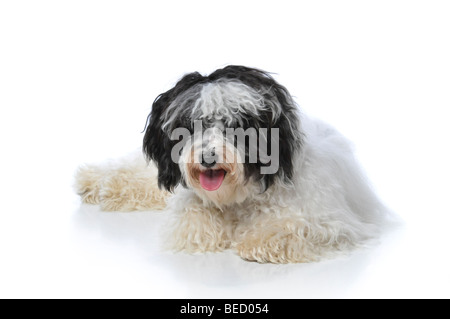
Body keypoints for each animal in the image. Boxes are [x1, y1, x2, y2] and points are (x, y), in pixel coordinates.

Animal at [74, 65, 390, 264]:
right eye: (191, 124)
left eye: (237, 124)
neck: (239, 200)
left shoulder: (327, 220)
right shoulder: (190, 205)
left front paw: (260, 241)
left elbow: (295, 225)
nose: (207, 158)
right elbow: (193, 219)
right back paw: (97, 183)